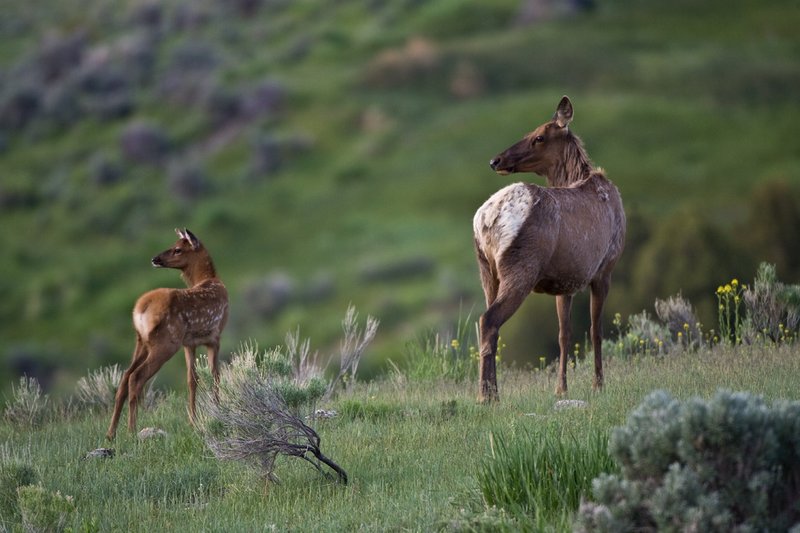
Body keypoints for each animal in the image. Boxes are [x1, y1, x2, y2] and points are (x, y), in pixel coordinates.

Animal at [106, 228, 229, 440]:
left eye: (177, 249)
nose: (155, 259)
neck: (210, 280)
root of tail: (141, 308)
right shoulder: (215, 337)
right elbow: (215, 375)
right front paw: (217, 411)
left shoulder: (190, 343)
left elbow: (192, 379)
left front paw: (193, 421)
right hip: (166, 342)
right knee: (136, 377)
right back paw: (131, 430)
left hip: (141, 342)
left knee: (124, 376)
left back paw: (111, 433)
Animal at [473, 96, 625, 402]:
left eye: (538, 136)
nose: (496, 160)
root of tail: (486, 219)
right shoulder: (604, 268)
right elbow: (596, 330)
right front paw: (598, 385)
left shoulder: (565, 281)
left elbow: (563, 334)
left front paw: (561, 388)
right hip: (521, 266)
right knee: (489, 320)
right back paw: (487, 396)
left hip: (486, 271)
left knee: (488, 323)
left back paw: (491, 392)